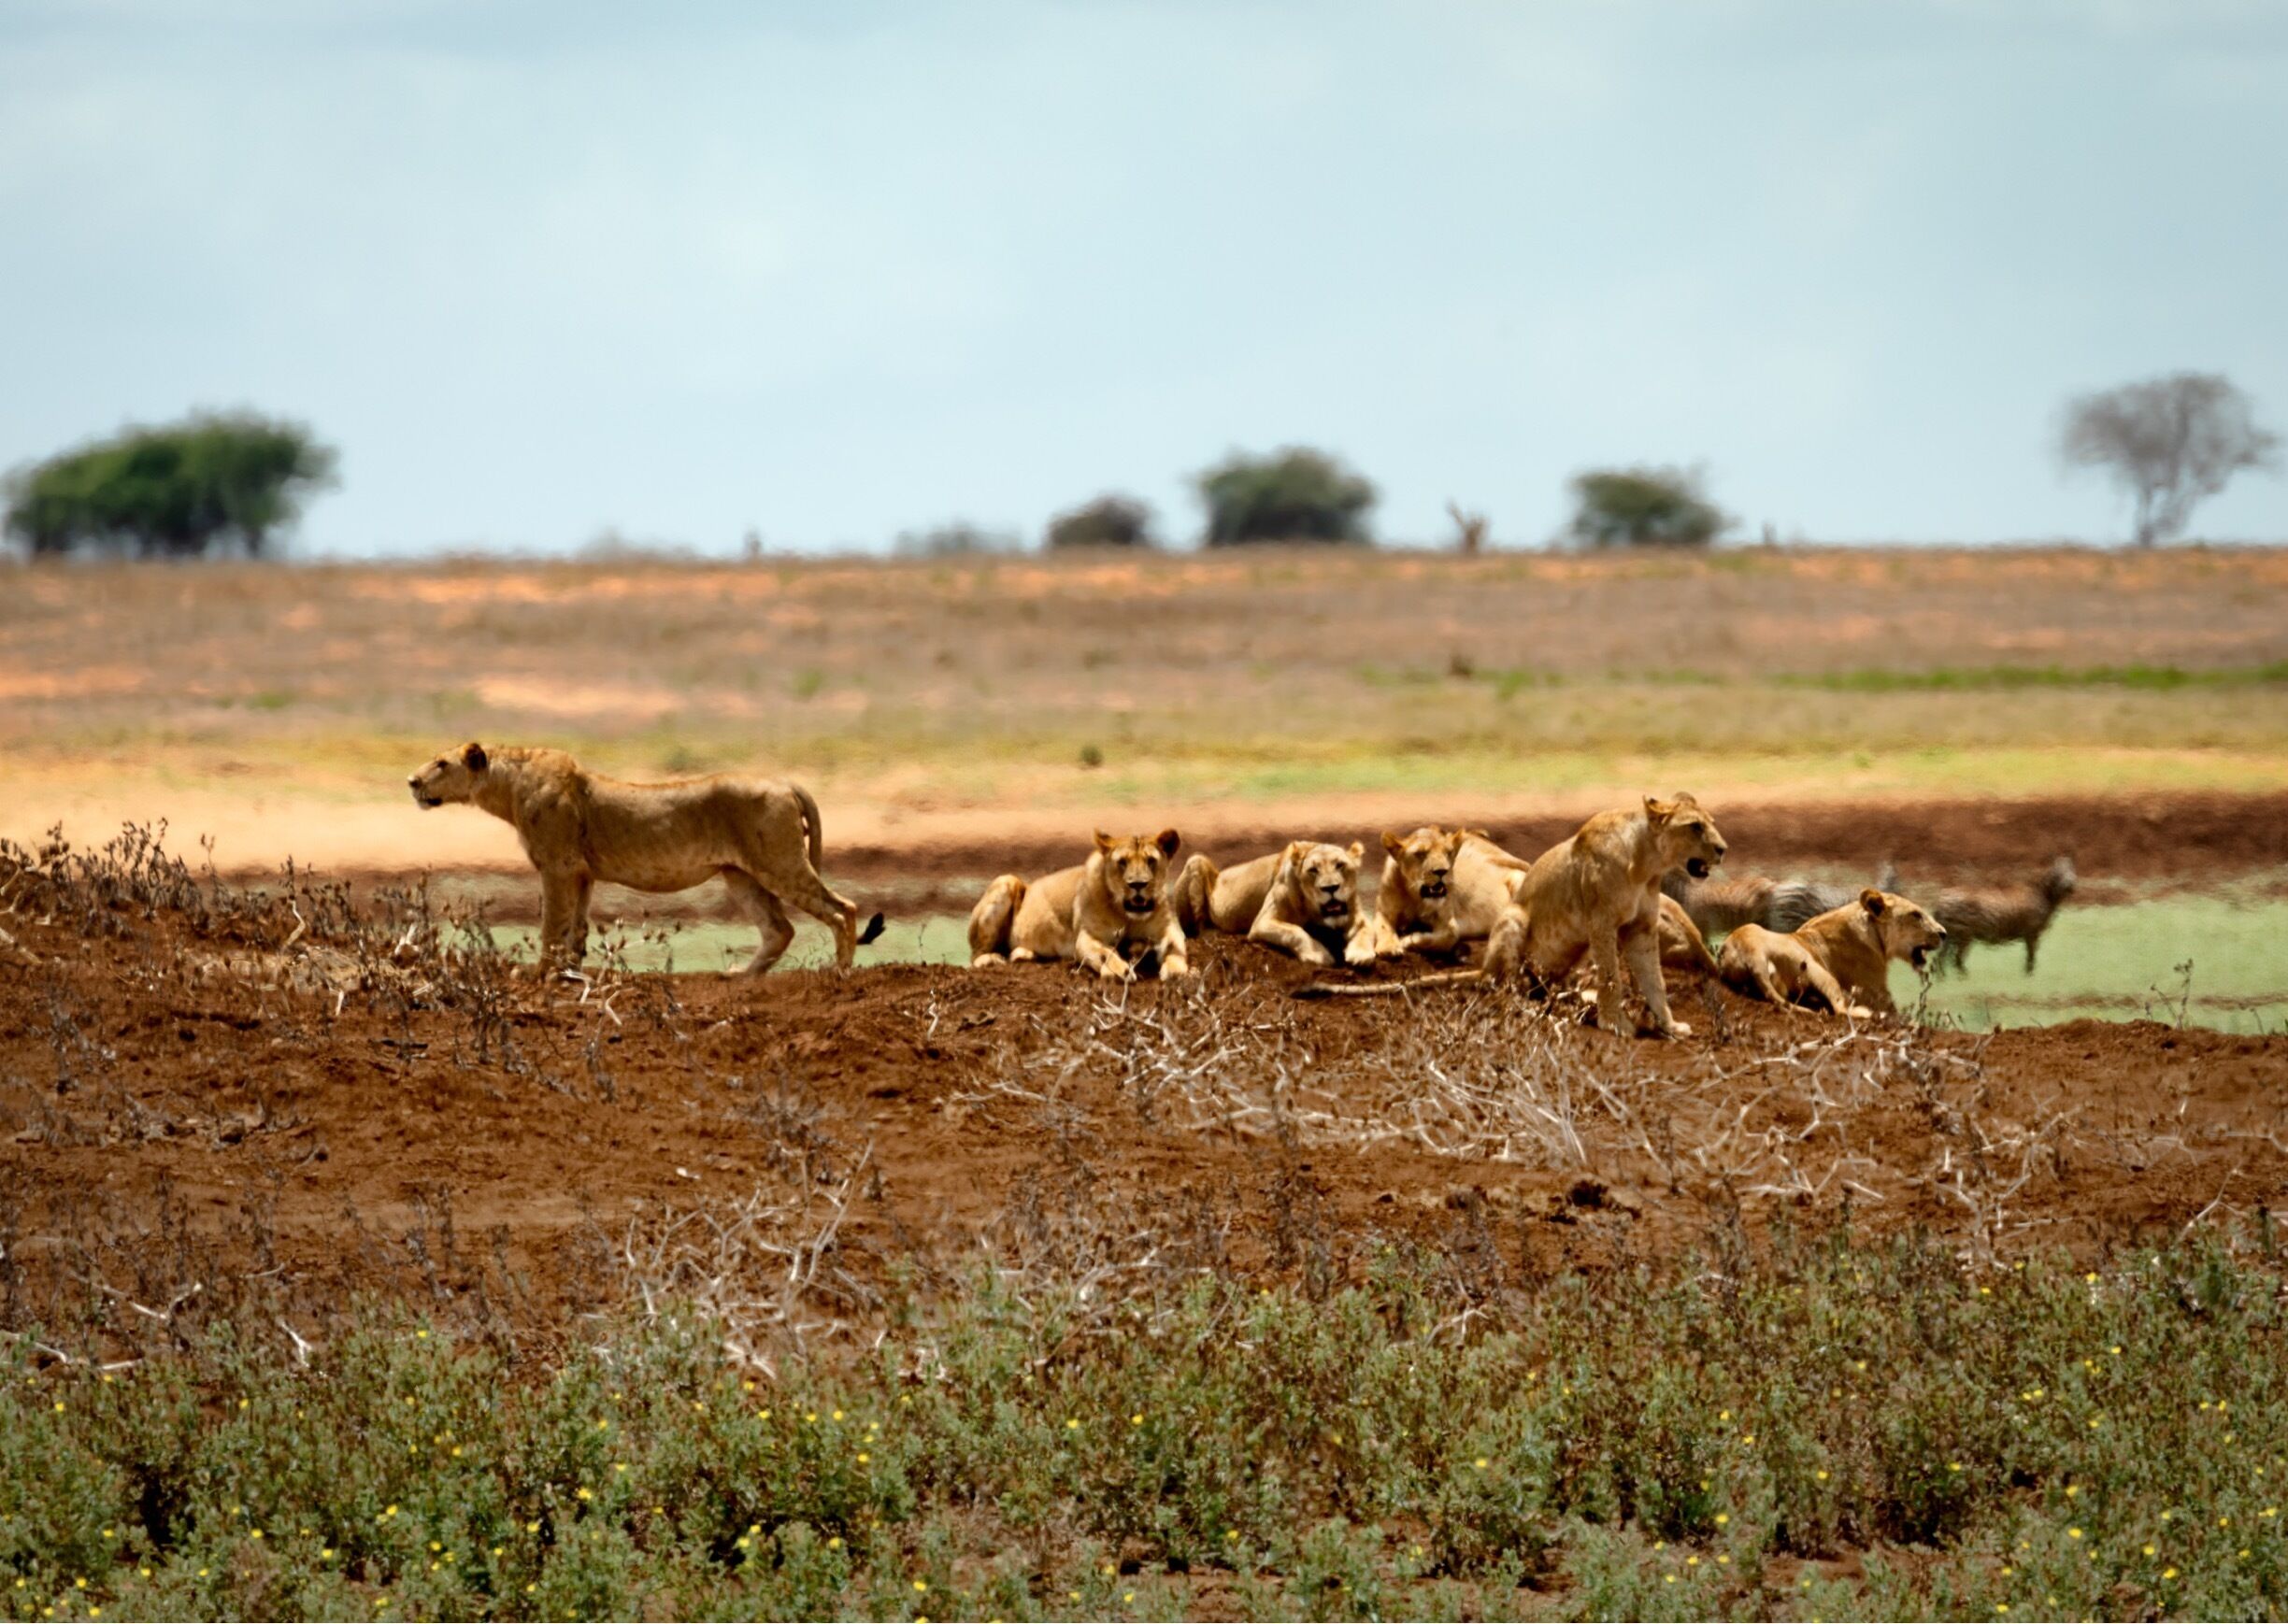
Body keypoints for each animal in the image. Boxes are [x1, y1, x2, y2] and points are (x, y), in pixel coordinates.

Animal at [406, 742, 884, 976]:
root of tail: (785, 782)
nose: (411, 780)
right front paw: (571, 972)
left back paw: (839, 972)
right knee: (779, 929)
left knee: (842, 908)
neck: (506, 785)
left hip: (780, 862)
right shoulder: (582, 873)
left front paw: (537, 975)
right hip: (741, 874)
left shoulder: (558, 867)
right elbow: (576, 928)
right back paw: (741, 976)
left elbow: (551, 927)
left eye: (441, 763)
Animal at [969, 830, 1189, 981]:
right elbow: (1105, 953)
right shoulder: (1086, 937)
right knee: (975, 957)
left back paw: (1022, 954)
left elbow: (1175, 947)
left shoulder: (1168, 929)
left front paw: (1177, 970)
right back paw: (993, 959)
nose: (1137, 884)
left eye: (1151, 860)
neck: (1127, 915)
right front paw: (1120, 971)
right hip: (1006, 880)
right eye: (1122, 862)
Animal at [1176, 840, 1374, 967]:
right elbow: (1295, 931)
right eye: (1313, 870)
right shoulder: (1262, 923)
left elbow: (1366, 929)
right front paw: (1318, 955)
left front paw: (1361, 953)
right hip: (1196, 860)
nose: (1331, 888)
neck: (1315, 912)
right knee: (1198, 929)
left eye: (1340, 865)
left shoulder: (1358, 916)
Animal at [1368, 825, 1530, 959]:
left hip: (1517, 878)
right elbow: (1383, 927)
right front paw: (1389, 948)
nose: (1441, 871)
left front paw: (1409, 940)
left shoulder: (1447, 921)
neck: (1415, 896)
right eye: (1420, 854)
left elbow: (1448, 937)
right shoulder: (1384, 910)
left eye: (1448, 852)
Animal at [1721, 888, 1944, 1019]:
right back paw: (1865, 1013)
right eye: (1916, 915)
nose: (1944, 933)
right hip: (1817, 969)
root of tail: (1753, 953)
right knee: (1841, 1010)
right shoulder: (1876, 992)